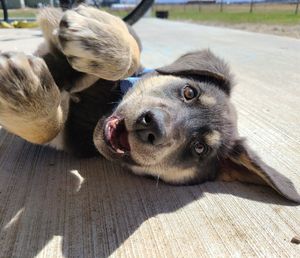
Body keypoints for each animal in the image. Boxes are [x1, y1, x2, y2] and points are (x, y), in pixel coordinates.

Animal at [0, 5, 298, 203]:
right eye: (189, 92)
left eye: (199, 148)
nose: (151, 126)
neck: (99, 110)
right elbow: (132, 49)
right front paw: (96, 33)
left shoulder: (69, 139)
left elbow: (49, 130)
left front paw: (24, 94)